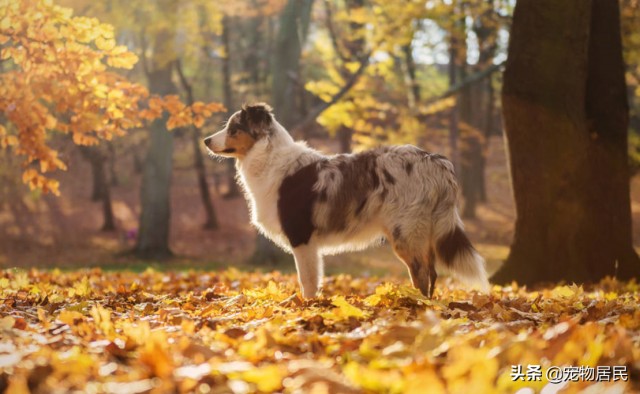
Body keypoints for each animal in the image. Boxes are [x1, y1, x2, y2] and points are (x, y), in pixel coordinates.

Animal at [205, 103, 490, 298]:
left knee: (421, 273)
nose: (206, 140)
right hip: (423, 231)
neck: (269, 158)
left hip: (407, 232)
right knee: (431, 273)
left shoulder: (302, 238)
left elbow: (307, 282)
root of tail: (436, 161)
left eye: (233, 128)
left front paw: (306, 308)